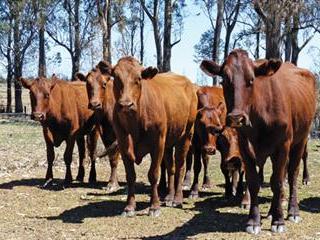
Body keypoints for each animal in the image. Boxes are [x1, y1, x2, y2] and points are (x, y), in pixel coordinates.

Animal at [201, 49, 316, 234]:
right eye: (224, 80)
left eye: (251, 80)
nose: (237, 118)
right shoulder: (245, 148)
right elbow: (253, 182)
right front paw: (254, 221)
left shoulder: (283, 145)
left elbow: (277, 182)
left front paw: (278, 221)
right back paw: (271, 212)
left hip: (301, 139)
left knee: (292, 174)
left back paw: (292, 211)